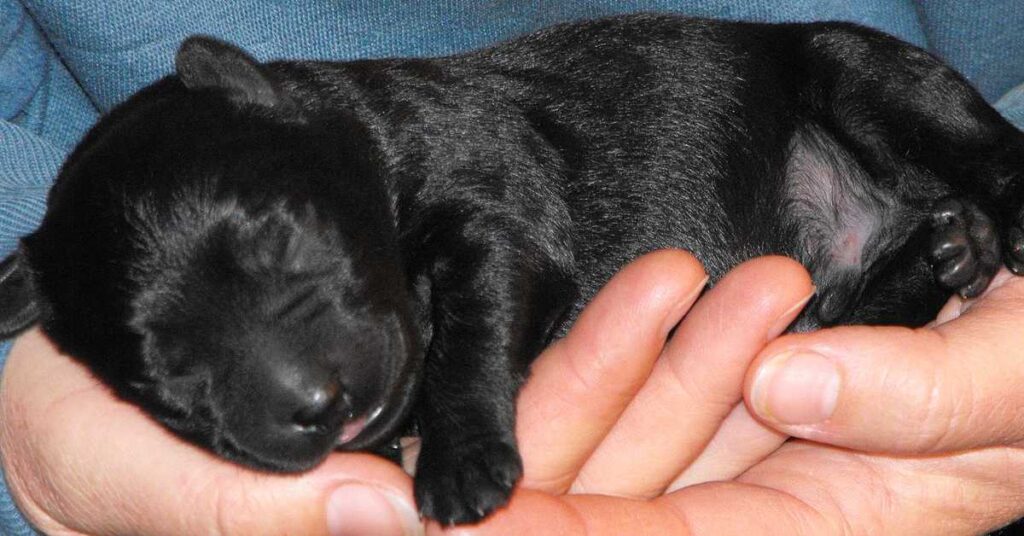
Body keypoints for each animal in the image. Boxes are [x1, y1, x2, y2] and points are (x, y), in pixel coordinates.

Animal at [2, 13, 1024, 524]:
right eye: (168, 388)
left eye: (289, 240)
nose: (318, 406)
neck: (367, 137)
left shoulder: (500, 206)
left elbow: (470, 326)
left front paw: (462, 463)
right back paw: (950, 249)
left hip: (862, 71)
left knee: (989, 153)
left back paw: (993, 233)